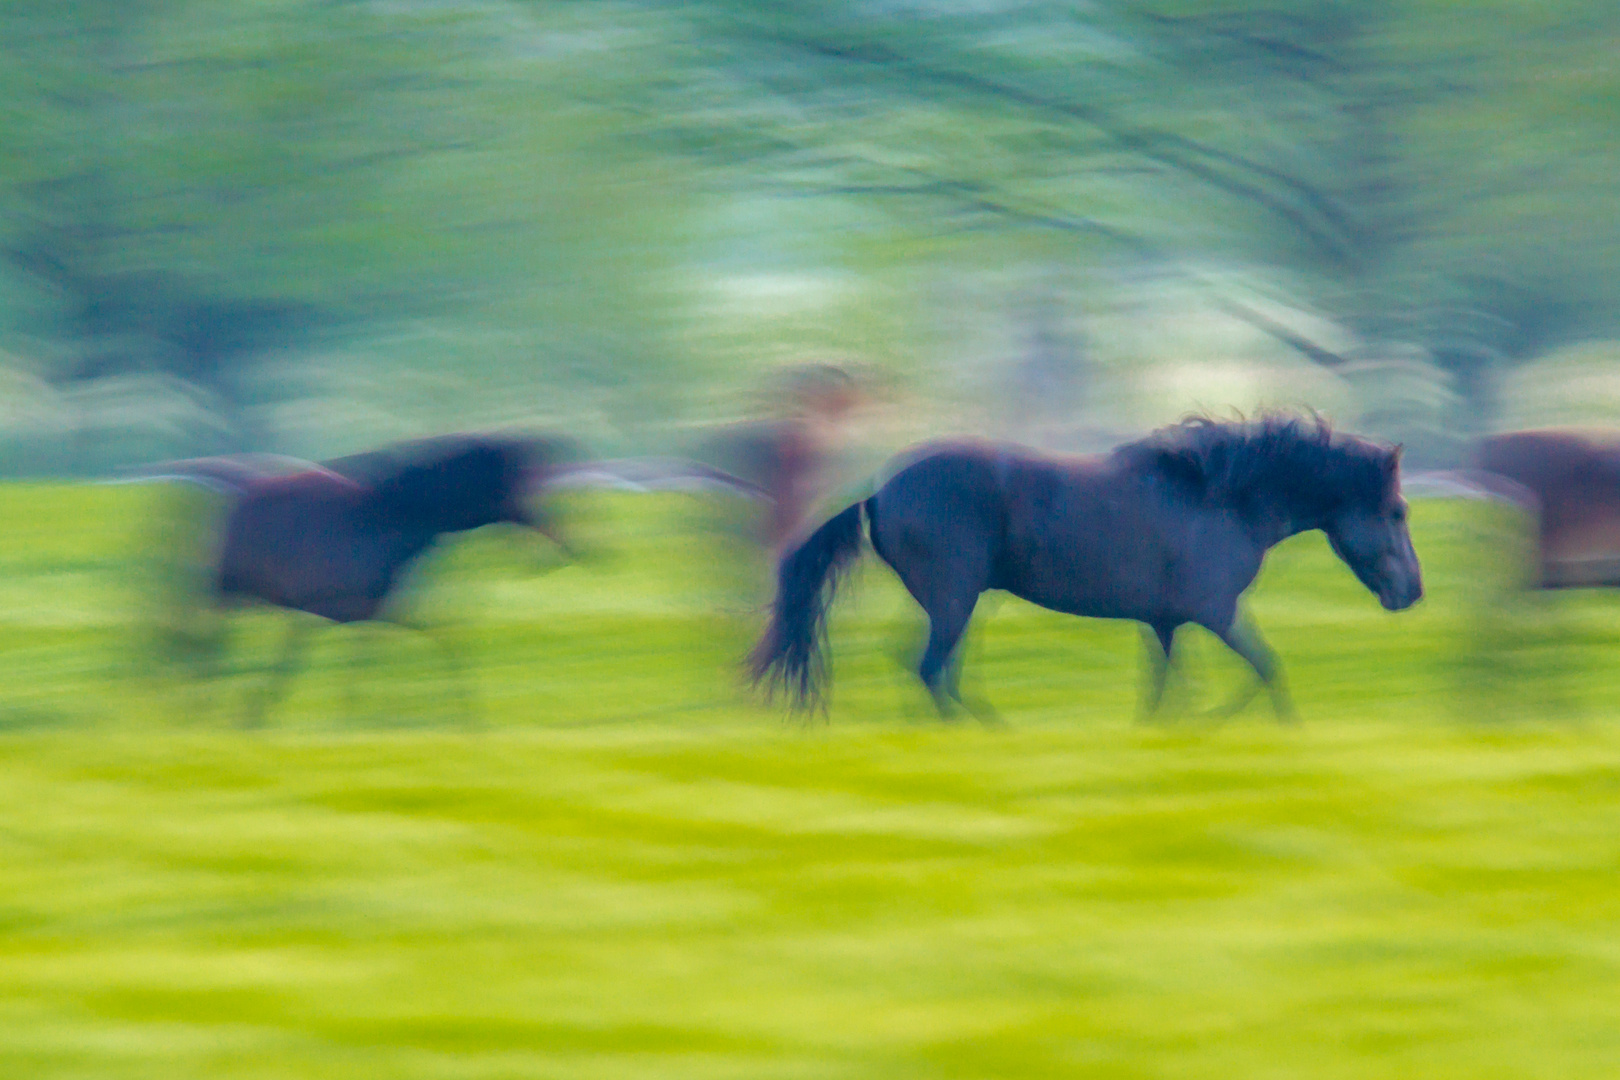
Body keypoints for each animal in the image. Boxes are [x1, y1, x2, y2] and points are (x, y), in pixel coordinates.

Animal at [751, 417, 1425, 722]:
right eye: (1397, 510)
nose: (1413, 591)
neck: (1221, 499)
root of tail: (879, 490)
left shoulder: (1167, 623)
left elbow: (1167, 690)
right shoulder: (1216, 611)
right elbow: (1267, 670)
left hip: (959, 602)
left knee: (935, 670)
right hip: (955, 597)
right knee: (929, 668)